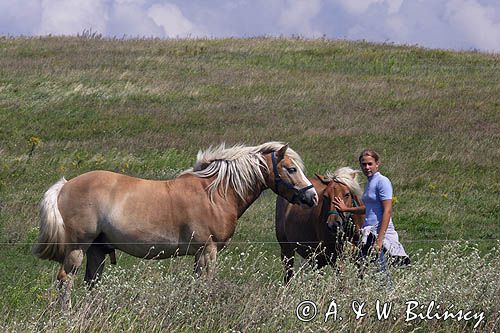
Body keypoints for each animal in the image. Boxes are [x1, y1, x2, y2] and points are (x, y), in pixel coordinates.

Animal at [34, 141, 316, 308]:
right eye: (291, 169)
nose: (312, 197)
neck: (214, 193)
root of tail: (65, 185)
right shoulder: (207, 251)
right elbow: (206, 283)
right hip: (77, 249)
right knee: (65, 280)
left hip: (97, 250)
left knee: (91, 282)